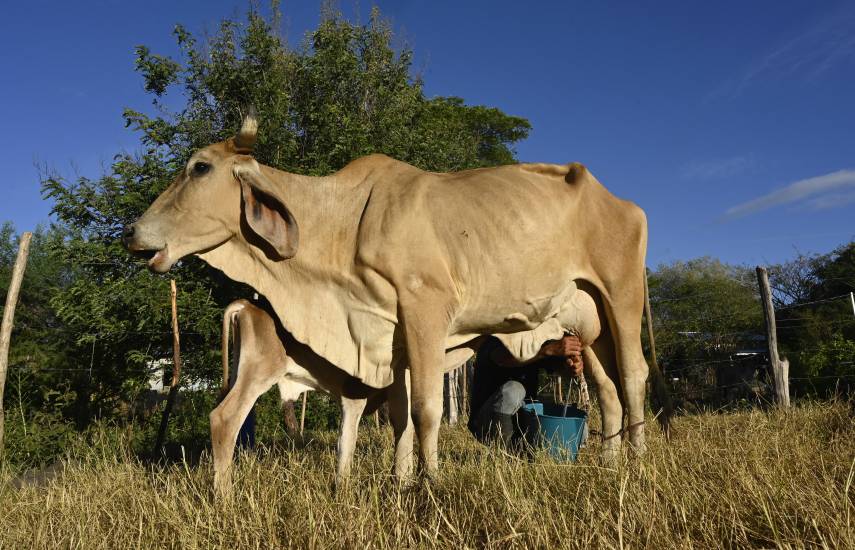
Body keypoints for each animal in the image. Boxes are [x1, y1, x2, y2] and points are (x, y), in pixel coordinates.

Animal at [124, 111, 662, 477]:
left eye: (200, 168)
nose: (132, 233)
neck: (345, 223)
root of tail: (625, 203)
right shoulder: (393, 336)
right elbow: (401, 416)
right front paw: (401, 482)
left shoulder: (425, 309)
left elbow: (424, 410)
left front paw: (431, 484)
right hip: (587, 325)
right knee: (608, 391)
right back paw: (610, 463)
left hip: (621, 295)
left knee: (634, 376)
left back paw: (637, 467)